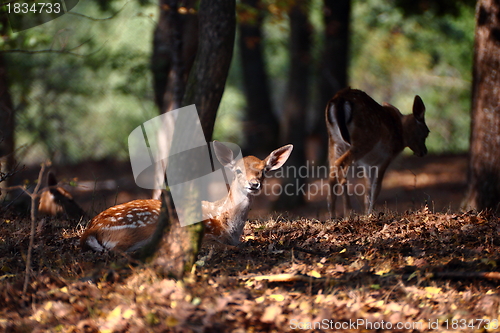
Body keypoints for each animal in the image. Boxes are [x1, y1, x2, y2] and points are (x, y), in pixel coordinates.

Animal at [80, 141, 292, 252]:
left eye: (264, 171)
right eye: (238, 170)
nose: (254, 184)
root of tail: (91, 230)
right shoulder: (209, 236)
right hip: (138, 228)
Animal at [326, 87, 428, 215]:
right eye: (427, 133)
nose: (424, 151)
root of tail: (340, 98)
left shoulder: (366, 163)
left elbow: (368, 190)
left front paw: (366, 212)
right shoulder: (387, 156)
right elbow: (377, 186)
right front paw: (370, 213)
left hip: (334, 141)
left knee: (331, 175)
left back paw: (333, 215)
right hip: (365, 138)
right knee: (341, 165)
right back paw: (348, 212)